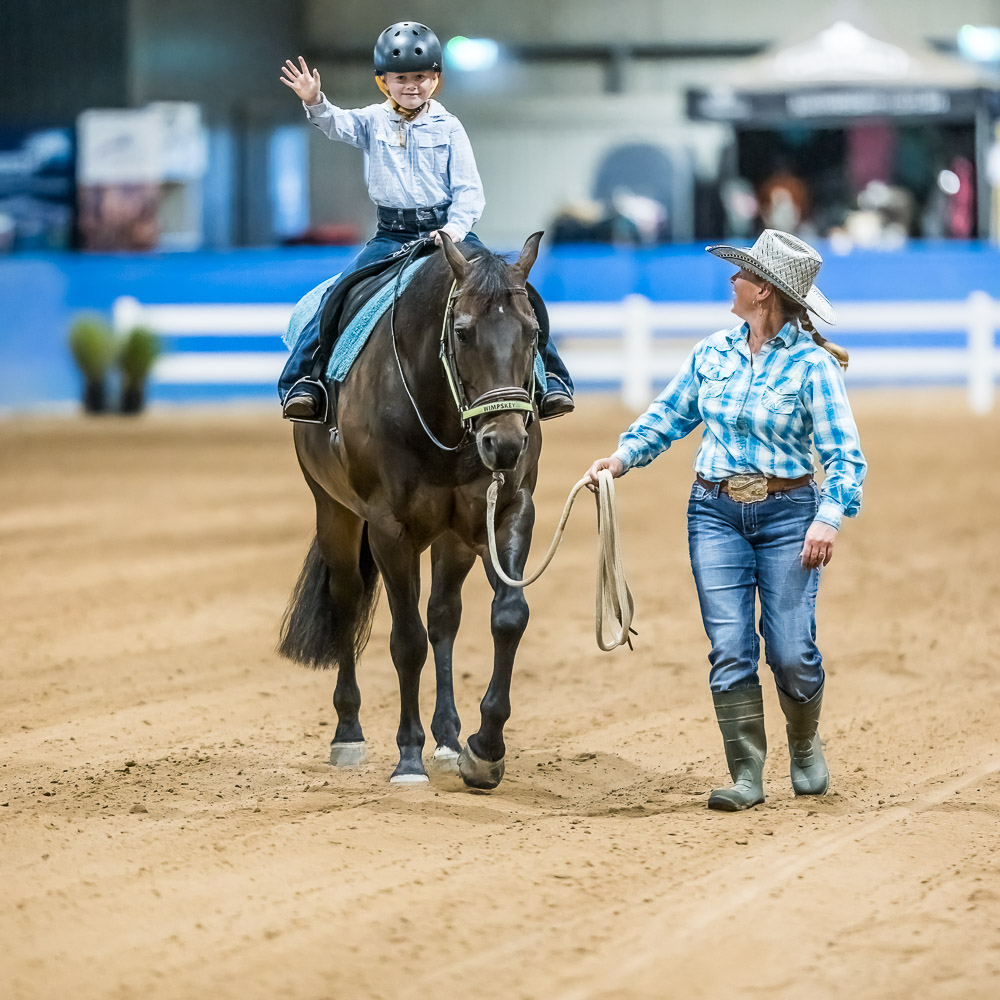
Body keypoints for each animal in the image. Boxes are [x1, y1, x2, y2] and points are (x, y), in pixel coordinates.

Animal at [282, 234, 544, 788]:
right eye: (462, 333)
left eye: (534, 332)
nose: (506, 443)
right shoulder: (390, 531)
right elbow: (406, 642)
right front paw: (407, 758)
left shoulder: (508, 511)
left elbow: (508, 617)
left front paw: (484, 751)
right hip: (335, 514)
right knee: (347, 601)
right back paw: (349, 733)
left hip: (452, 538)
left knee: (443, 617)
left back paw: (447, 739)